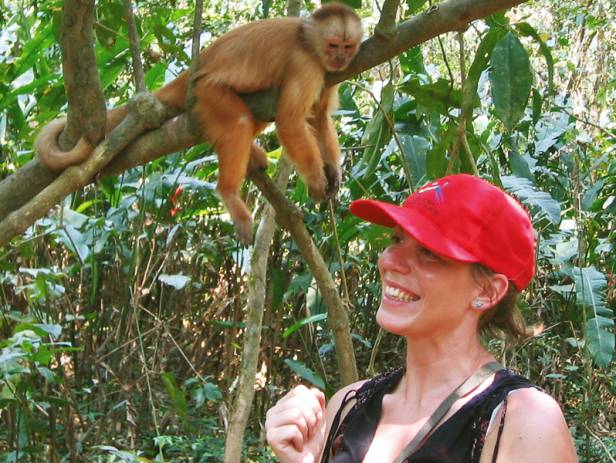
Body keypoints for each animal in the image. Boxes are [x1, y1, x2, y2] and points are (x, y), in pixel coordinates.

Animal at [36, 3, 364, 246]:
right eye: (334, 44)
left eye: (348, 46)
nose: (340, 57)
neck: (309, 44)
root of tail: (194, 70)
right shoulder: (306, 65)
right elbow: (291, 123)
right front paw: (316, 180)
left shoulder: (327, 71)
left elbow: (318, 117)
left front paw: (333, 172)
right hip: (206, 93)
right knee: (241, 122)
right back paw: (229, 192)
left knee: (257, 113)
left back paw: (252, 155)